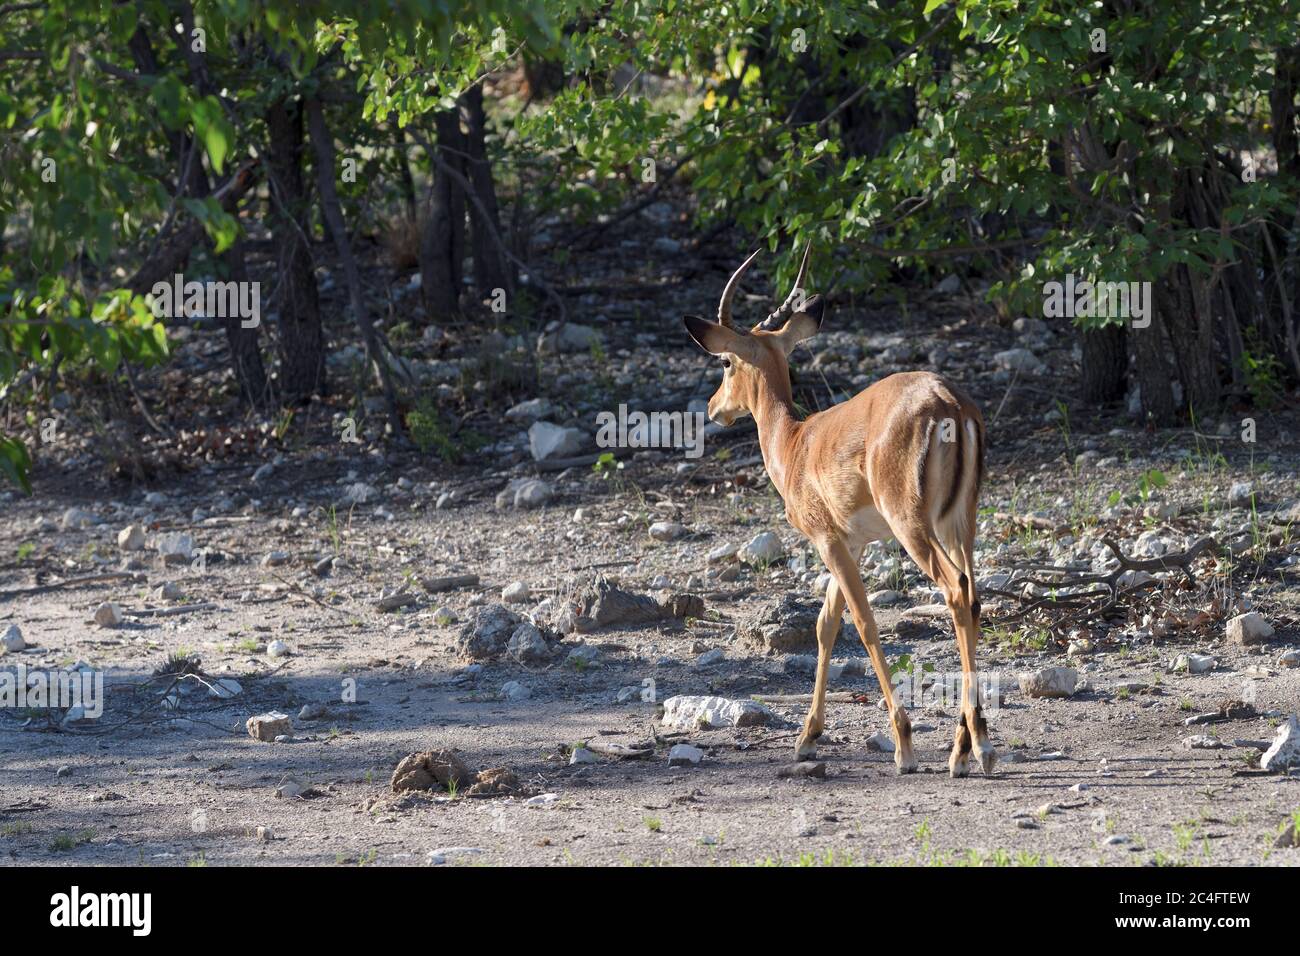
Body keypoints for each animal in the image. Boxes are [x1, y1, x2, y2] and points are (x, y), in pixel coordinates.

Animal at [683, 245, 995, 777]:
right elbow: (826, 625)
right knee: (973, 596)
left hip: (913, 527)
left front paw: (903, 746)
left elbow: (863, 623)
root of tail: (950, 403)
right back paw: (961, 750)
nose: (712, 407)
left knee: (954, 590)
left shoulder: (827, 540)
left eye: (725, 361)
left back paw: (978, 750)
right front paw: (807, 738)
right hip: (959, 522)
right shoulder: (851, 541)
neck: (794, 442)